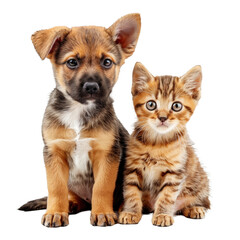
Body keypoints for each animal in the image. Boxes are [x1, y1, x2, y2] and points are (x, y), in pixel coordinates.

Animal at [19, 13, 142, 227]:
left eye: (107, 62)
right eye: (72, 62)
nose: (91, 87)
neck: (78, 110)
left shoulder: (106, 153)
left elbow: (102, 187)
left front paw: (102, 213)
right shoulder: (54, 152)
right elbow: (56, 188)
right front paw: (56, 212)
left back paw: (118, 208)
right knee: (73, 196)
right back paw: (72, 204)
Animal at [118, 62, 210, 226]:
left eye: (176, 106)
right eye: (151, 104)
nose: (162, 117)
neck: (156, 143)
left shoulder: (174, 172)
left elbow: (167, 196)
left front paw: (162, 215)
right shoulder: (132, 167)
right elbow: (131, 192)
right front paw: (131, 212)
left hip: (201, 181)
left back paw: (194, 208)